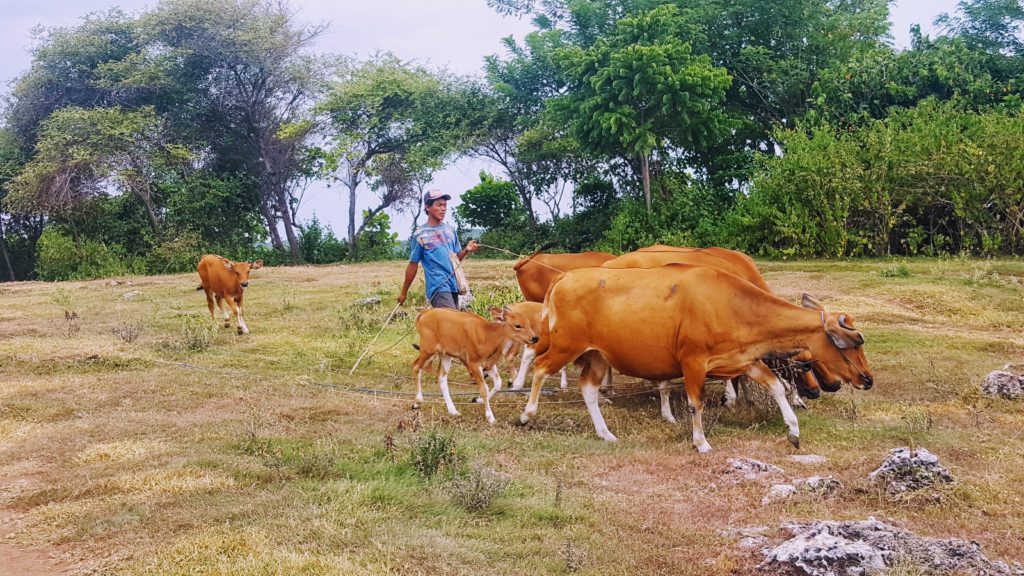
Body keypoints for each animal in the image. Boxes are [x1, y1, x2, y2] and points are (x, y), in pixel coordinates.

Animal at [415, 305, 544, 422]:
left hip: (445, 355)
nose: (535, 338)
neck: (488, 336)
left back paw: (453, 411)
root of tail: (424, 313)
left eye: (528, 323)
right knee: (416, 366)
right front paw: (490, 417)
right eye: (517, 325)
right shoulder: (473, 363)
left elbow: (498, 383)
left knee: (441, 377)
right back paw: (417, 401)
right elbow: (484, 388)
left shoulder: (488, 364)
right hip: (427, 349)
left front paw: (479, 400)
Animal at [520, 264, 872, 448]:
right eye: (854, 343)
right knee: (539, 365)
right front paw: (700, 442)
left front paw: (794, 430)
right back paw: (526, 414)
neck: (734, 306)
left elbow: (775, 386)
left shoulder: (742, 361)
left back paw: (605, 433)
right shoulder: (692, 362)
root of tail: (563, 277)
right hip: (565, 344)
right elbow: (695, 403)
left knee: (588, 390)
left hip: (597, 355)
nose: (867, 379)